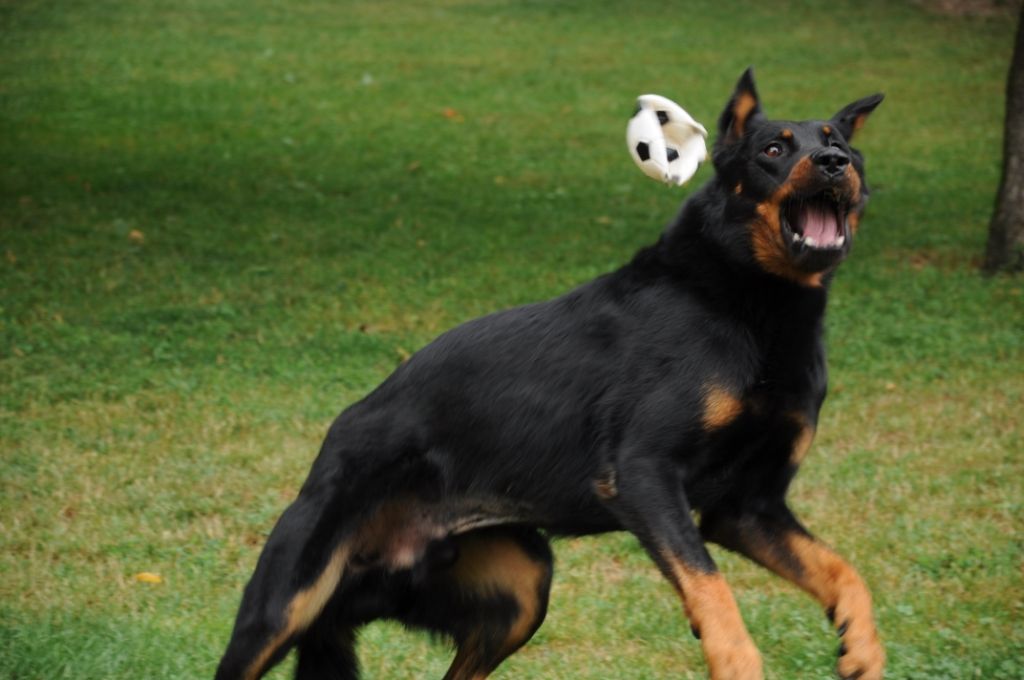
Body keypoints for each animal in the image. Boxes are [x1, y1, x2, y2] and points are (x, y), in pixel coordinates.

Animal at [218, 70, 888, 680]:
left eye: (841, 145)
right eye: (774, 149)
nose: (835, 164)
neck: (751, 302)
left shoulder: (748, 509)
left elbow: (844, 573)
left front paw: (862, 648)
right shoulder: (644, 474)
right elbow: (712, 589)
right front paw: (737, 660)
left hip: (520, 592)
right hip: (284, 606)